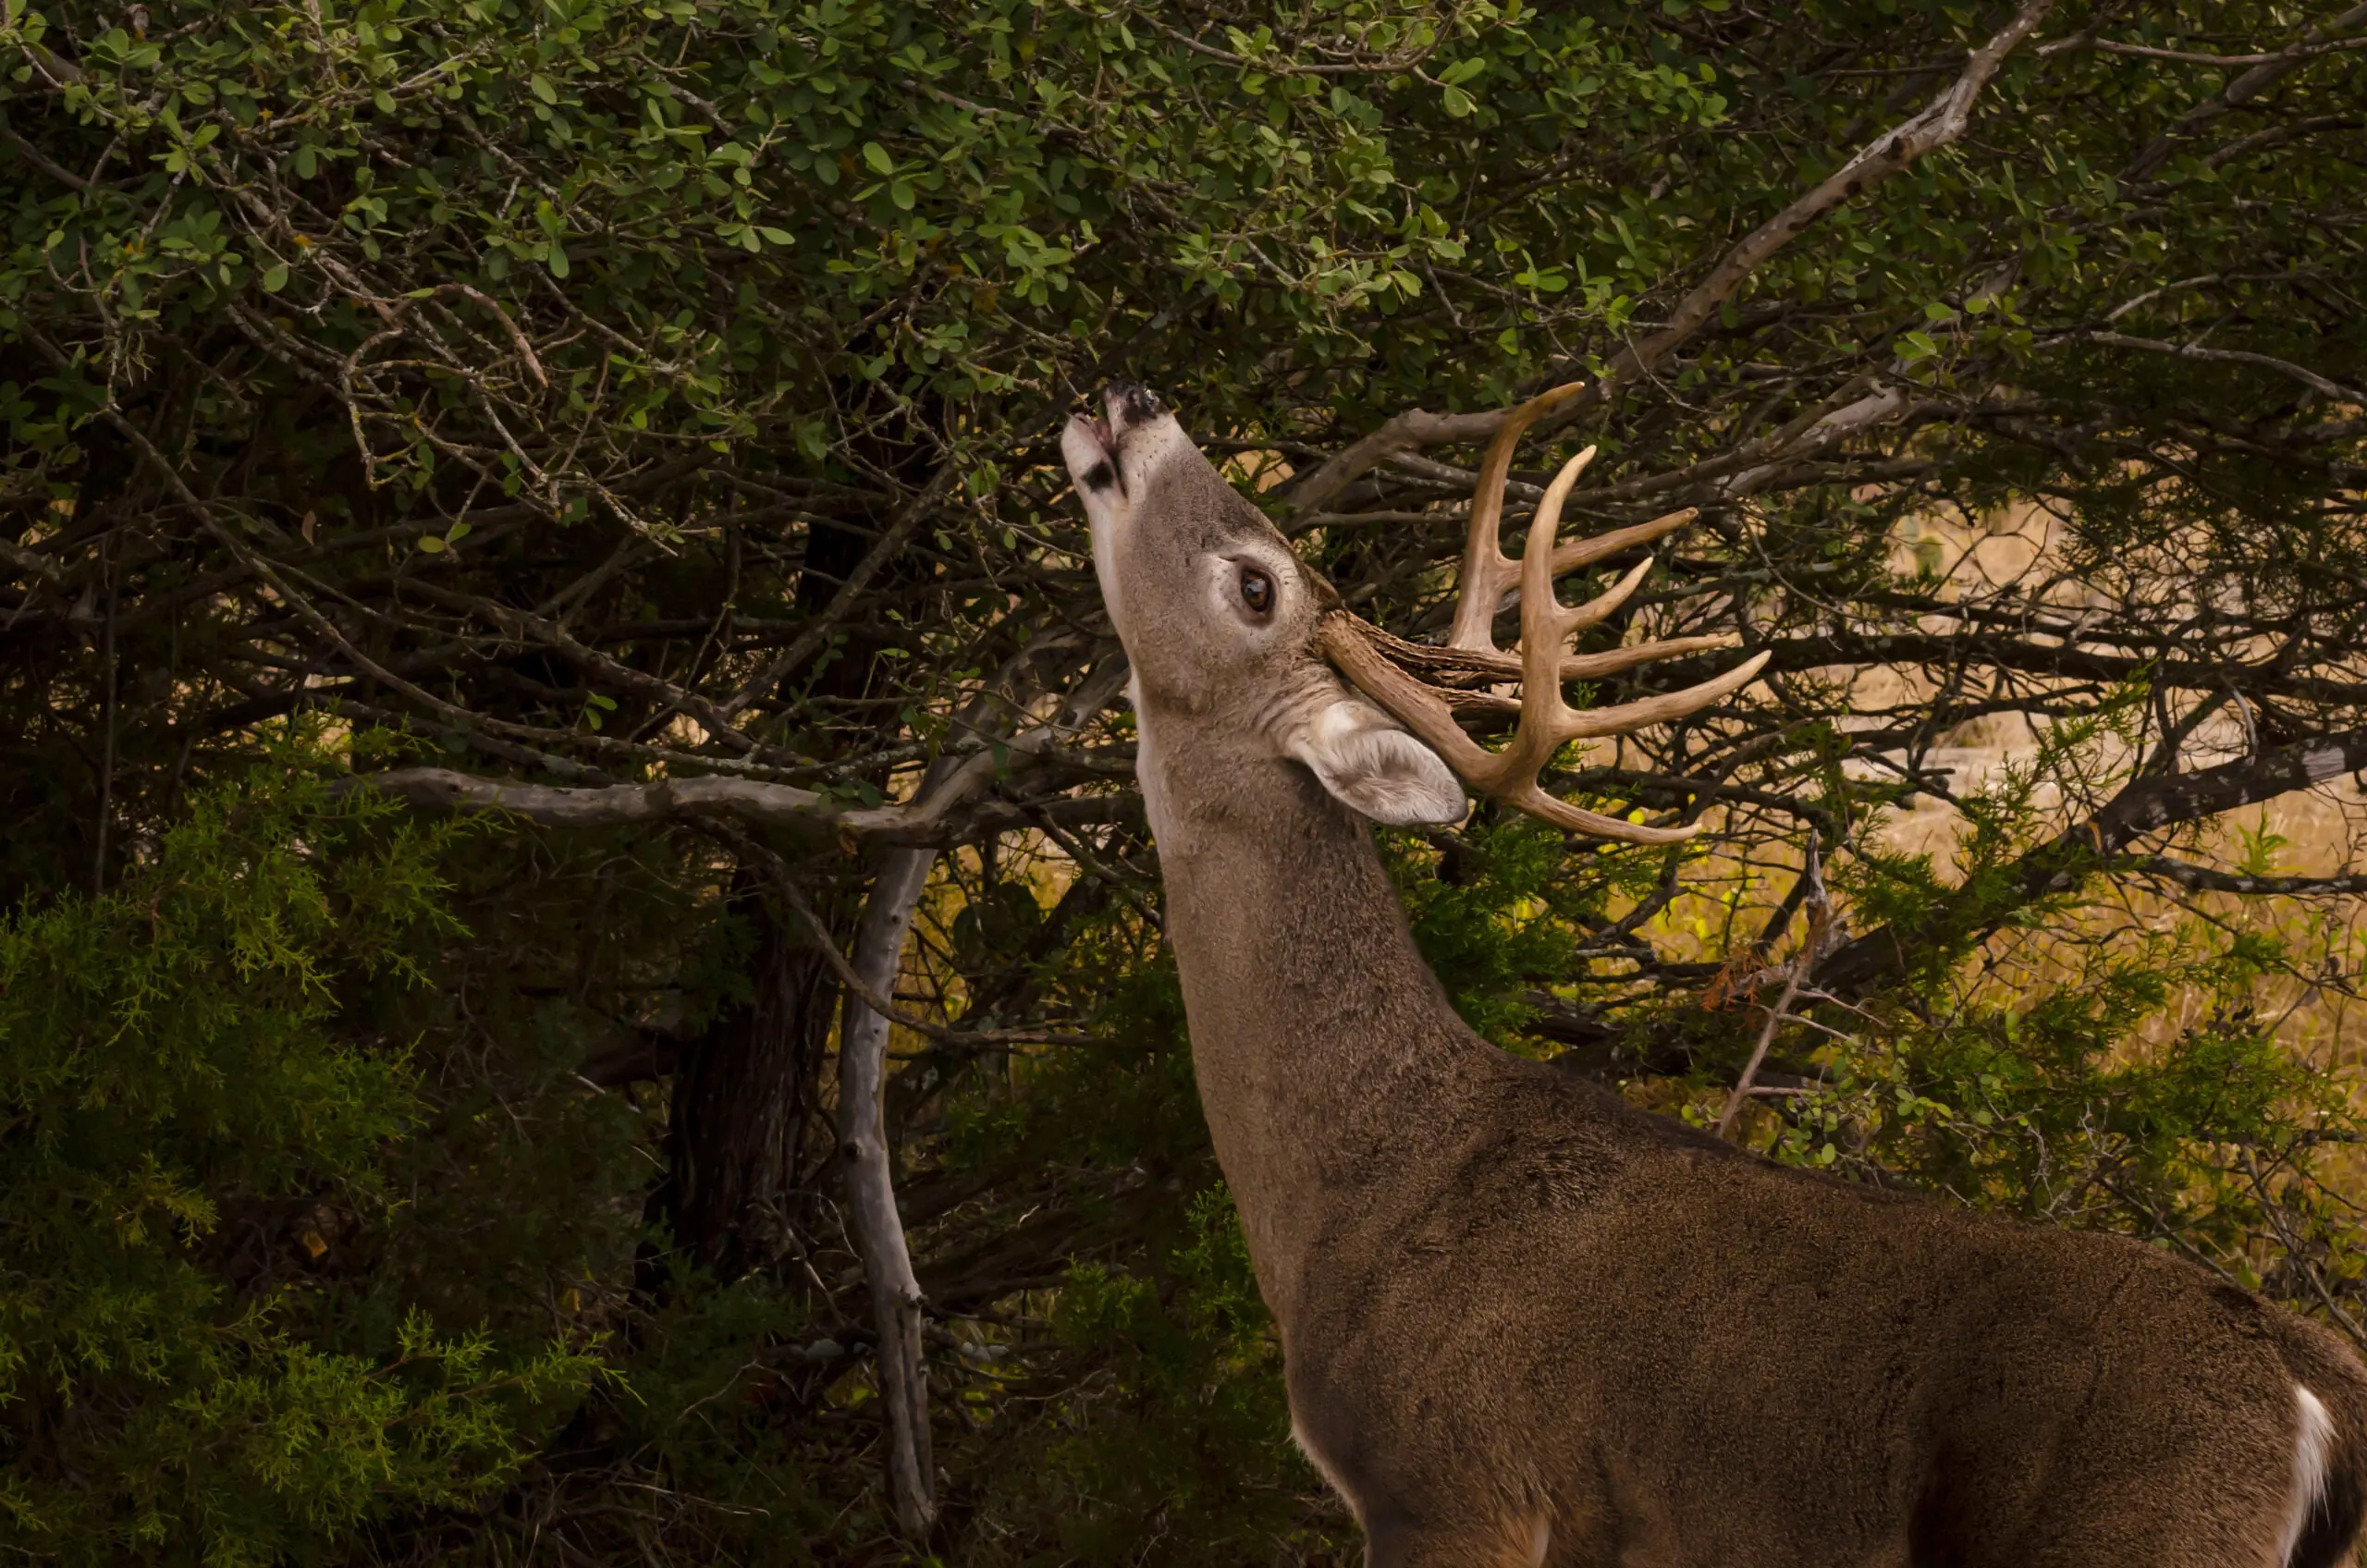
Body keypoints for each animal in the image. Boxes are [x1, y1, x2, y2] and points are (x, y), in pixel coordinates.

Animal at [1065, 384, 2367, 1568]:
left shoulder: (1448, 1484)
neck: (1368, 1178)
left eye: (1254, 587)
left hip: (2129, 1536)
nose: (1131, 398)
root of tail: (2312, 1386)